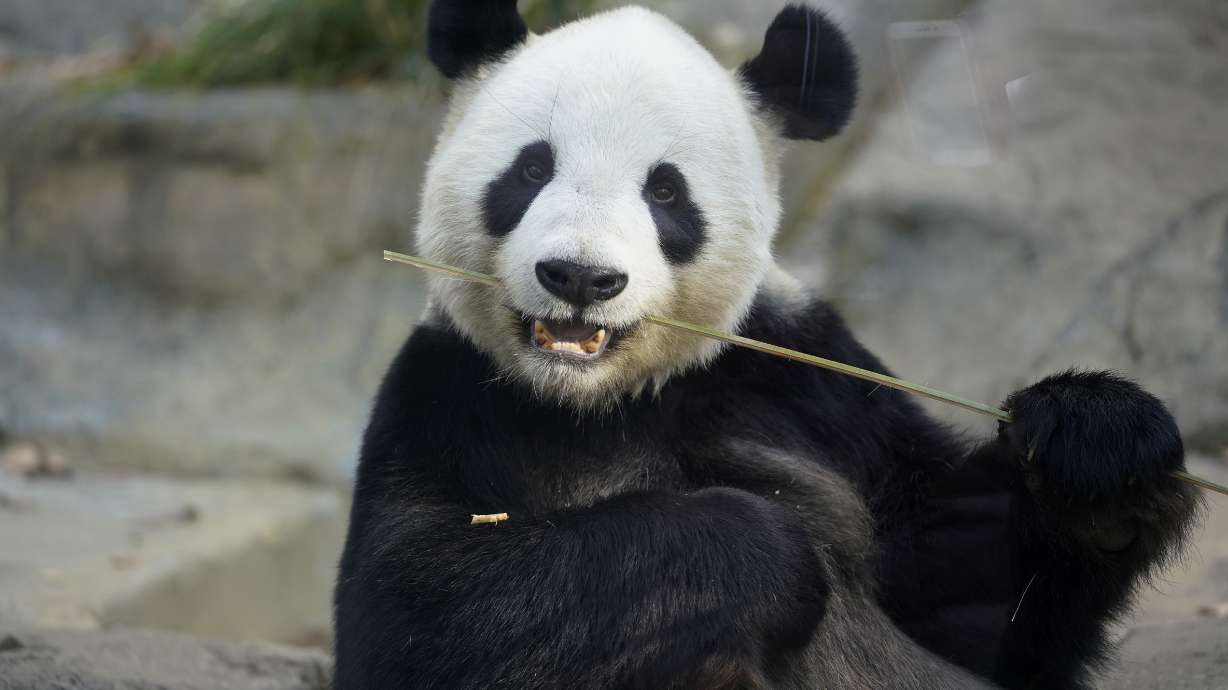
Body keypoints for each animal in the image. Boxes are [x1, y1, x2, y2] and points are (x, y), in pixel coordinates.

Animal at [334, 2, 1199, 688]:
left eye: (666, 191)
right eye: (530, 169)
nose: (580, 276)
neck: (606, 398)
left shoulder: (806, 382)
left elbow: (968, 598)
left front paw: (1098, 449)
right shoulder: (449, 396)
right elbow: (418, 611)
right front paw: (767, 553)